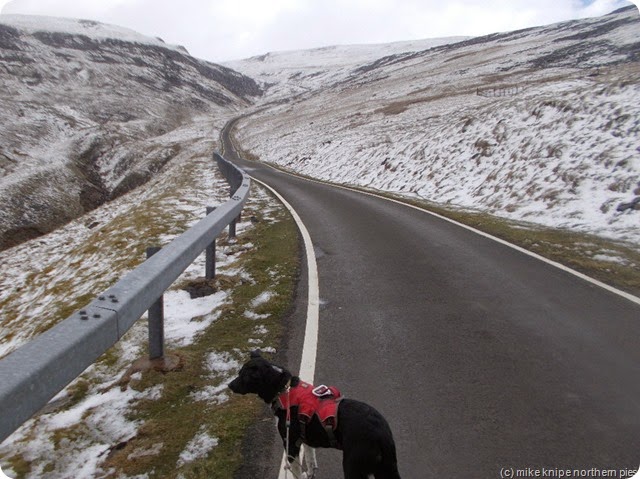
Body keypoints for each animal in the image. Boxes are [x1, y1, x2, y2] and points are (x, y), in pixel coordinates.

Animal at [229, 350, 400, 478]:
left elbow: (297, 473)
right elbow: (311, 462)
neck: (284, 390)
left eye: (243, 376)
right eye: (239, 372)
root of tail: (382, 434)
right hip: (386, 469)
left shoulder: (290, 445)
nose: (229, 385)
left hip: (353, 467)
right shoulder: (306, 440)